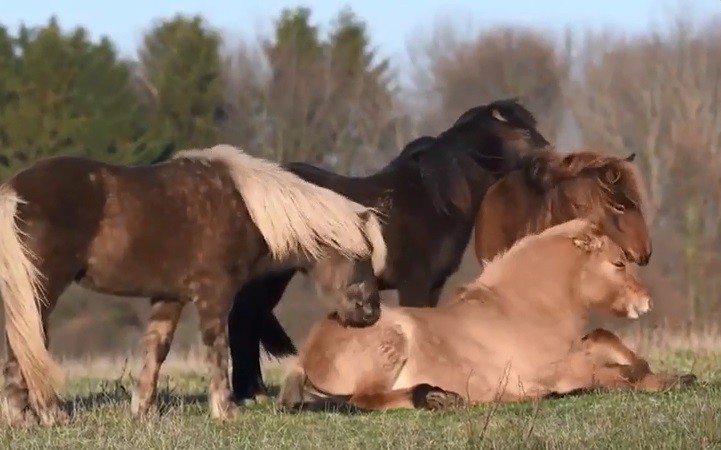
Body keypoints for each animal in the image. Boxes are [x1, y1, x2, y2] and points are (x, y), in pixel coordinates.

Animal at [0, 144, 388, 426]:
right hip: (41, 290)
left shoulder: (168, 298)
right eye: (359, 254)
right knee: (26, 343)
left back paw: (22, 418)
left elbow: (157, 350)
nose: (370, 312)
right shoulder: (214, 296)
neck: (245, 208)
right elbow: (217, 350)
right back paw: (50, 413)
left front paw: (143, 410)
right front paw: (225, 411)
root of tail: (14, 191)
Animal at [229, 97, 552, 400]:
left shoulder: (433, 285)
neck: (434, 201)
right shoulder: (415, 283)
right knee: (243, 320)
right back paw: (251, 392)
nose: (549, 159)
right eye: (524, 132)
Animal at [278, 218, 696, 412]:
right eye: (618, 263)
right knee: (364, 399)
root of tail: (306, 354)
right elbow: (614, 377)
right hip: (390, 347)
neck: (523, 310)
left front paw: (676, 376)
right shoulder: (563, 369)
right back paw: (435, 397)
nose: (646, 301)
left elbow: (606, 341)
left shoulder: (576, 350)